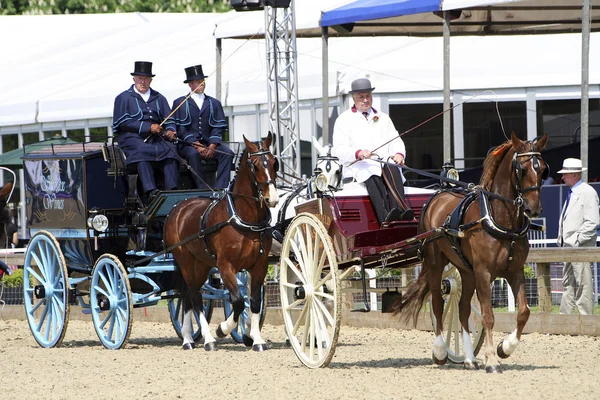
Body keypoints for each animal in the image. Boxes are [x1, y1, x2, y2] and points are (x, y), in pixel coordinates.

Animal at [163, 134, 278, 350]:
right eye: (255, 165)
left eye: (275, 162)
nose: (272, 199)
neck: (243, 217)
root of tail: (178, 207)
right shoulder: (226, 266)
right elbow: (238, 301)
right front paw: (222, 329)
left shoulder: (260, 265)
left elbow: (254, 301)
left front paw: (255, 338)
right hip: (184, 260)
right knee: (195, 296)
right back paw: (207, 339)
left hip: (201, 264)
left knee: (188, 296)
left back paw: (188, 338)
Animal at [390, 131, 548, 372]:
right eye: (521, 169)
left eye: (543, 169)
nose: (534, 208)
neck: (499, 219)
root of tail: (436, 196)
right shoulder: (484, 272)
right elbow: (488, 316)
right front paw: (491, 360)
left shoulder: (515, 271)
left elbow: (523, 312)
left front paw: (504, 348)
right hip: (436, 263)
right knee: (438, 303)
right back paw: (440, 352)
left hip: (466, 271)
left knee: (462, 307)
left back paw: (469, 359)